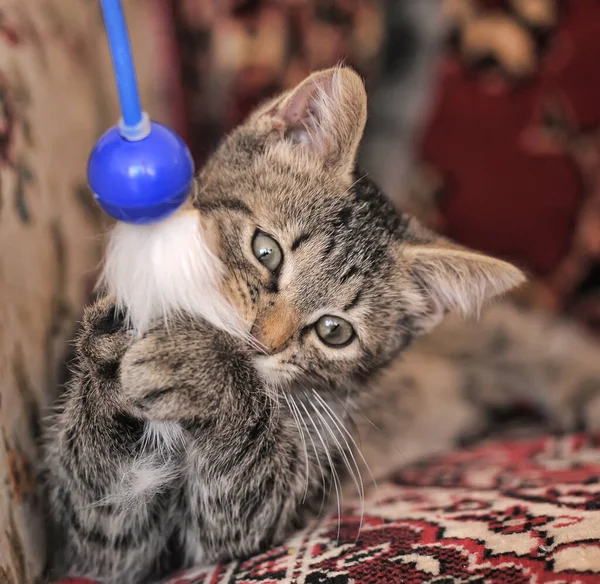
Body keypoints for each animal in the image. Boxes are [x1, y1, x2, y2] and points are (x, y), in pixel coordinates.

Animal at [43, 68, 600, 584]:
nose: (260, 341)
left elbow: (248, 477)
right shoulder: (120, 545)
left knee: (534, 341)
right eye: (265, 250)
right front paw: (112, 341)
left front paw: (203, 369)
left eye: (335, 331)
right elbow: (106, 515)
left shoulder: (264, 507)